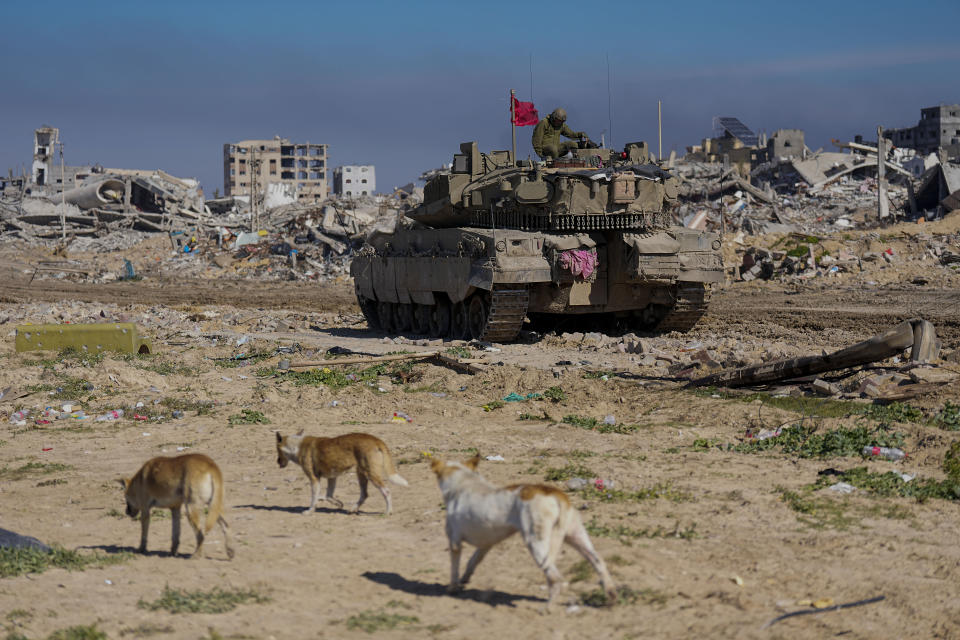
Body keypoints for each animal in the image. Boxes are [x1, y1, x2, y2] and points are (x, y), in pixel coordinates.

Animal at [276, 430, 406, 516]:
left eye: (277, 450)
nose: (277, 462)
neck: (297, 446)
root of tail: (376, 440)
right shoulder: (332, 477)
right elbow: (328, 496)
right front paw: (338, 504)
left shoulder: (314, 479)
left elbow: (314, 498)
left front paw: (310, 511)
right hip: (361, 474)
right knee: (364, 494)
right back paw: (353, 509)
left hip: (371, 474)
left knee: (386, 492)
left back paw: (388, 512)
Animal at [434, 456, 620, 604]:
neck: (465, 483)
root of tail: (555, 493)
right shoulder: (485, 545)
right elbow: (471, 562)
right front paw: (464, 580)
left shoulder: (455, 542)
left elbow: (454, 569)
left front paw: (452, 588)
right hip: (576, 537)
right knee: (598, 561)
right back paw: (611, 594)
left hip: (536, 543)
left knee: (555, 577)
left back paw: (549, 607)